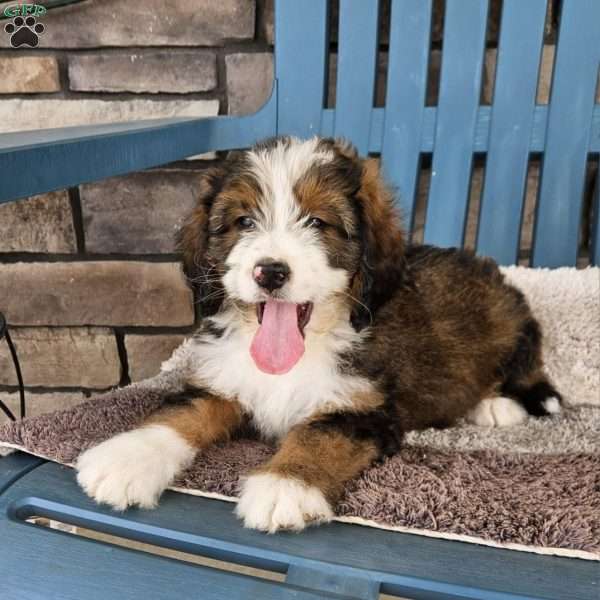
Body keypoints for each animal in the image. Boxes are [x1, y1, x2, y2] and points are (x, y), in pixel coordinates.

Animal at [76, 135, 564, 528]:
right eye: (244, 222)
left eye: (317, 222)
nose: (270, 272)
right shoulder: (221, 381)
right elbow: (181, 413)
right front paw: (126, 459)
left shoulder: (363, 409)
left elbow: (317, 438)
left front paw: (285, 486)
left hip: (511, 321)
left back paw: (496, 404)